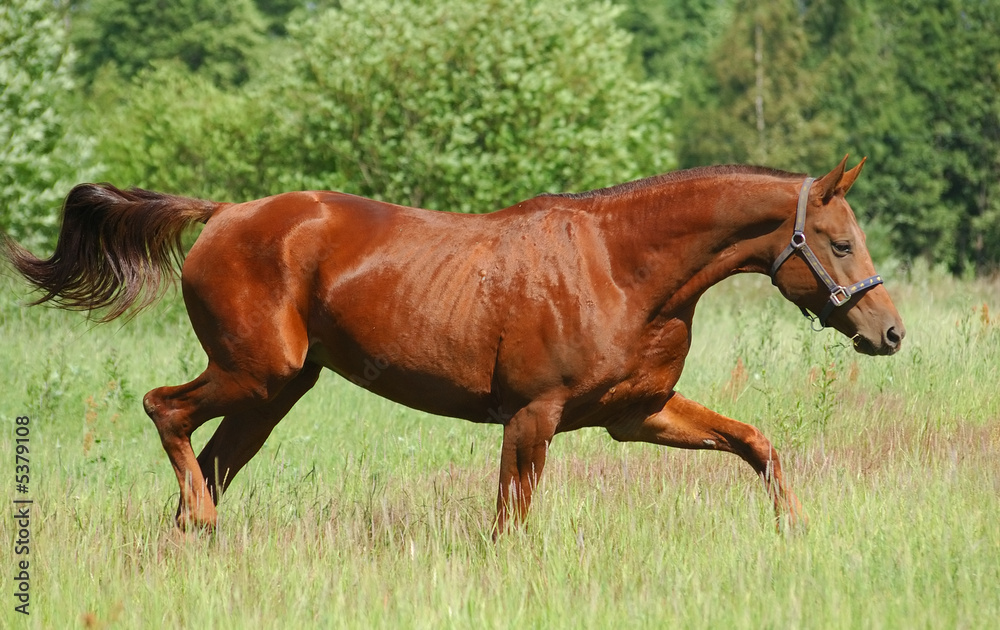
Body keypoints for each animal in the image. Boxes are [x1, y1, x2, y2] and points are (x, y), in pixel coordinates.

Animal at [2, 156, 904, 534]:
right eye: (839, 241)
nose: (889, 330)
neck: (621, 266)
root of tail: (222, 213)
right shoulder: (533, 417)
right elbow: (511, 521)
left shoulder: (636, 414)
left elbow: (756, 443)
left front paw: (795, 528)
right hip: (255, 374)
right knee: (165, 411)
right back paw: (194, 519)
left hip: (275, 393)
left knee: (212, 458)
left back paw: (195, 535)